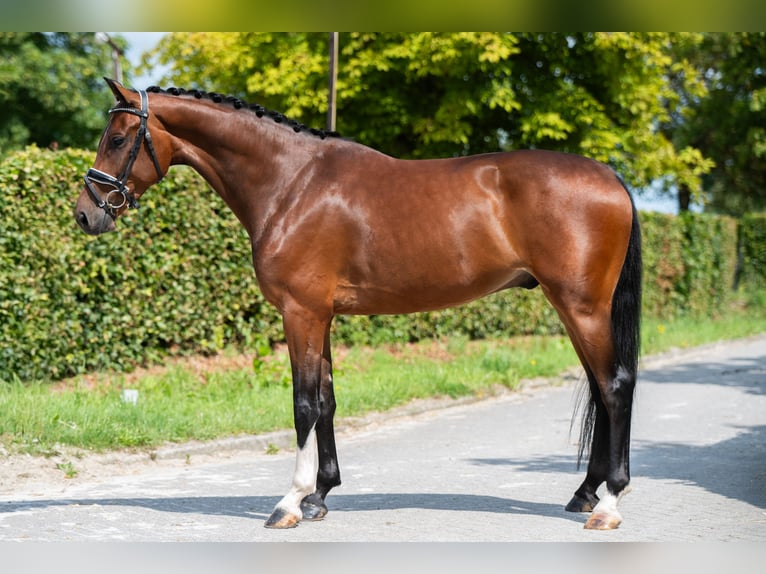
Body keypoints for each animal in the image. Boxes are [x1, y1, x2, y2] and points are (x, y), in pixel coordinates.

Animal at [74, 79, 642, 531]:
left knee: (614, 386)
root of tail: (610, 176)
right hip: (574, 308)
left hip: (581, 306)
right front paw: (320, 495)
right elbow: (326, 401)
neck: (292, 183)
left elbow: (303, 404)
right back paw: (584, 493)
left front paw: (290, 502)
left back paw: (608, 504)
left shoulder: (300, 313)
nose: (85, 214)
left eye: (118, 139)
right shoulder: (320, 316)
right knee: (600, 386)